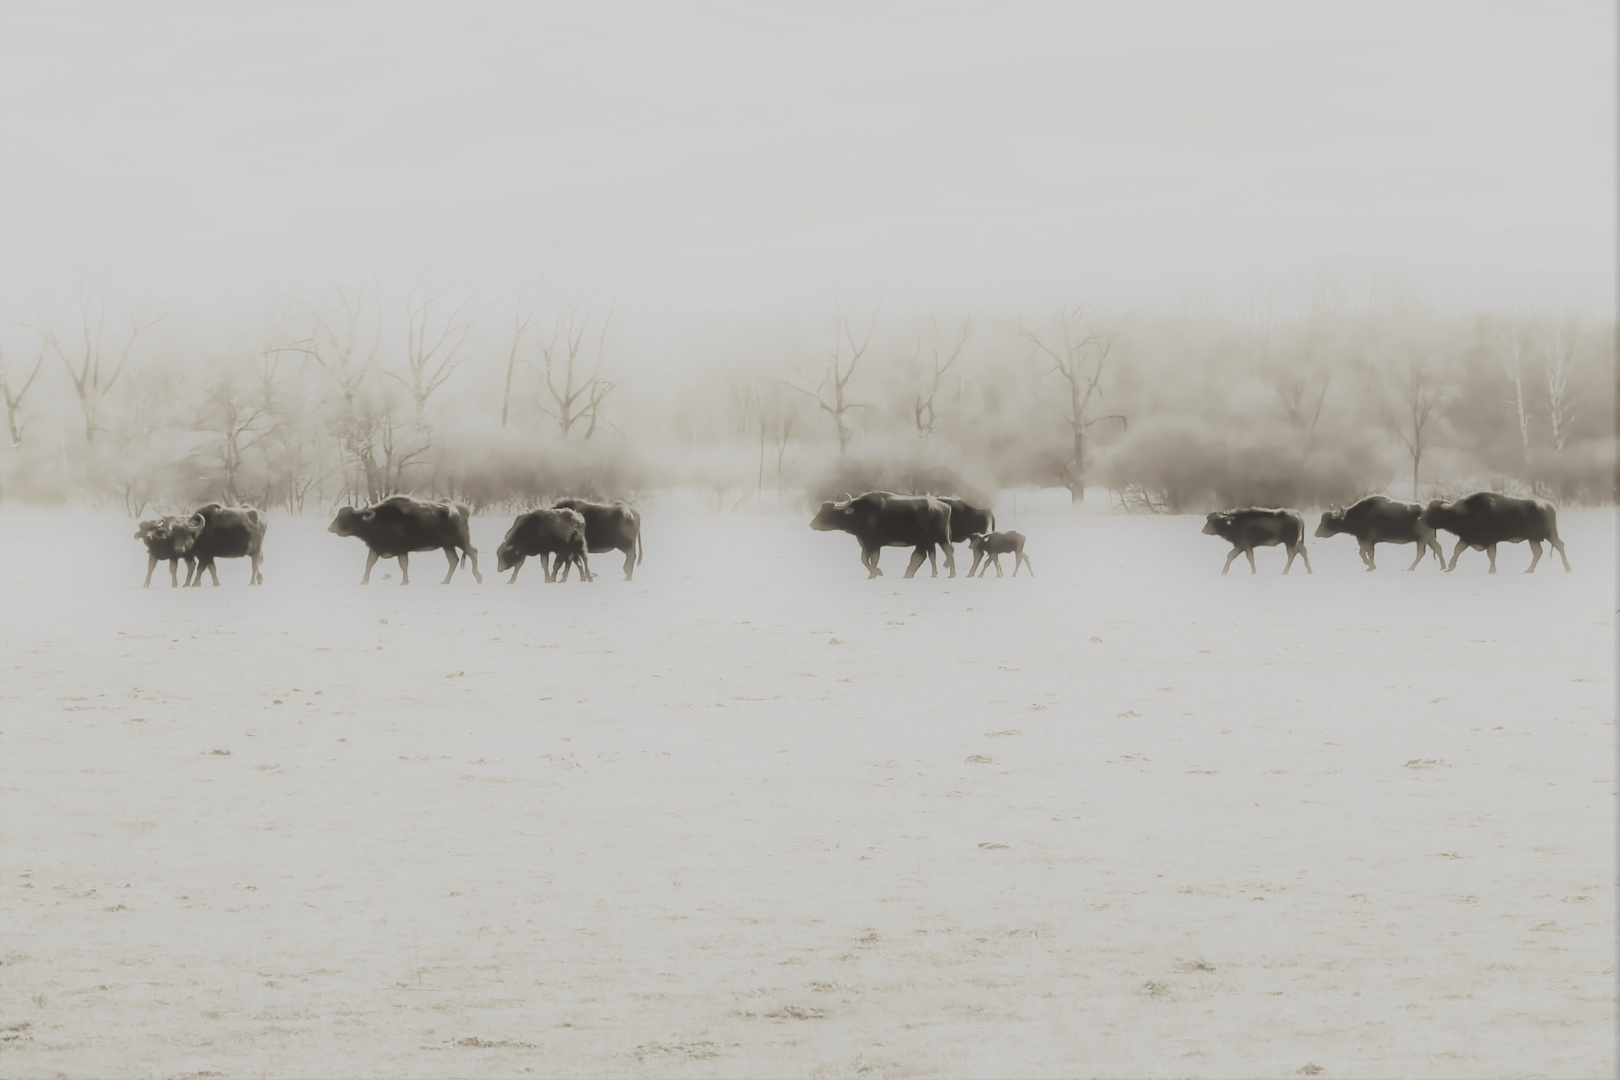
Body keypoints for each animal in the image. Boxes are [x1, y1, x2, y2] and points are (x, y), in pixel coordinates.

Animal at [327, 495, 479, 586]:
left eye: (346, 517)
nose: (330, 528)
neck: (378, 520)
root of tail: (460, 510)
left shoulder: (401, 549)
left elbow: (403, 565)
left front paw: (404, 581)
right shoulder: (375, 548)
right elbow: (369, 564)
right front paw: (364, 581)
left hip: (461, 541)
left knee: (473, 552)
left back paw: (478, 577)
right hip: (447, 545)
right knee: (454, 560)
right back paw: (445, 581)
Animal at [806, 488, 952, 579]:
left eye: (829, 513)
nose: (812, 524)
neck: (862, 513)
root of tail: (945, 506)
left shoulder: (875, 544)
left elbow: (871, 560)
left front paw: (877, 573)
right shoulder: (865, 544)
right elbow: (865, 559)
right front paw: (873, 574)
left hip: (941, 537)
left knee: (946, 551)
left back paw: (951, 574)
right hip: (926, 541)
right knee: (924, 556)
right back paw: (916, 574)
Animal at [1315, 495, 1445, 569]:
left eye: (1329, 521)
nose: (1316, 533)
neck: (1358, 515)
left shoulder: (1366, 541)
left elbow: (1362, 553)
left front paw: (1370, 565)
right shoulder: (1368, 542)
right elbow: (1370, 554)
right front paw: (1370, 566)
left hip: (1422, 539)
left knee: (1421, 553)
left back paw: (1410, 568)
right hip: (1429, 538)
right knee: (1438, 548)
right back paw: (1443, 566)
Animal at [1419, 492, 1568, 573]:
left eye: (1433, 510)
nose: (1420, 519)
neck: (1465, 512)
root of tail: (1549, 506)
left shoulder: (1485, 539)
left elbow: (1489, 555)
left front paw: (1491, 570)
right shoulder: (1468, 538)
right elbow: (1458, 550)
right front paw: (1450, 567)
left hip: (1549, 535)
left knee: (1559, 545)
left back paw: (1568, 568)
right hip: (1533, 538)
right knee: (1538, 552)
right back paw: (1529, 570)